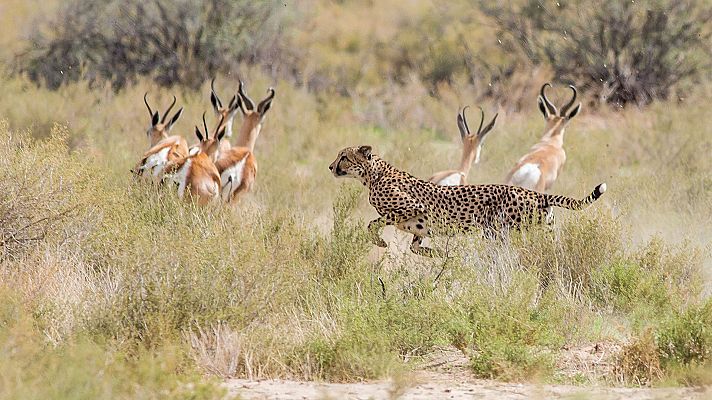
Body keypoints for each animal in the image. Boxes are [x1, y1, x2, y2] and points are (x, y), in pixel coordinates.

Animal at [328, 146, 608, 256]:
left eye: (344, 157)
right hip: (543, 231)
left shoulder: (414, 207)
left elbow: (373, 223)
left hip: (500, 232)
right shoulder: (419, 227)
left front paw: (381, 243)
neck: (372, 175)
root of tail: (535, 193)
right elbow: (415, 247)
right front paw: (438, 254)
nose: (331, 166)